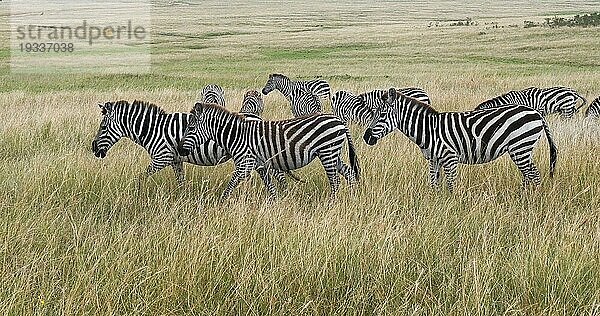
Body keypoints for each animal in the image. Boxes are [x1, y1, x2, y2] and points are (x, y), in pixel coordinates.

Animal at [176, 102, 358, 199]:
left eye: (190, 128)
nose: (179, 149)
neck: (237, 136)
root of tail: (339, 120)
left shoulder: (245, 164)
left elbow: (231, 183)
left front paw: (222, 202)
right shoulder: (260, 164)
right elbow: (269, 185)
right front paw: (276, 203)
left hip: (328, 152)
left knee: (335, 180)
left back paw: (332, 202)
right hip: (333, 154)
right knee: (349, 173)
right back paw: (352, 196)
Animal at [364, 88, 560, 193]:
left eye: (382, 114)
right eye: (373, 113)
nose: (366, 137)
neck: (428, 130)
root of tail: (536, 113)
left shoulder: (450, 158)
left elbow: (451, 185)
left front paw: (452, 207)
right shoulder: (434, 159)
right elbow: (434, 184)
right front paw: (435, 204)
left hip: (521, 146)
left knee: (534, 174)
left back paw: (533, 199)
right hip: (520, 149)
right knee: (528, 174)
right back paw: (523, 196)